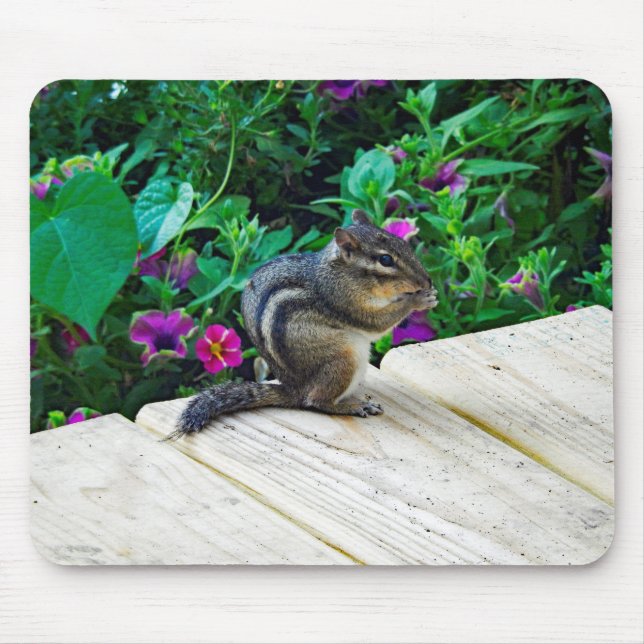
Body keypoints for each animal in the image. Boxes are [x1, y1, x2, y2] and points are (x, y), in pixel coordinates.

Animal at [170, 209, 437, 439]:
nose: (427, 280)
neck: (339, 272)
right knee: (315, 401)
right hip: (344, 359)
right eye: (385, 259)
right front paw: (418, 299)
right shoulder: (343, 300)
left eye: (404, 243)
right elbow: (376, 323)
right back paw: (351, 406)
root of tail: (294, 390)